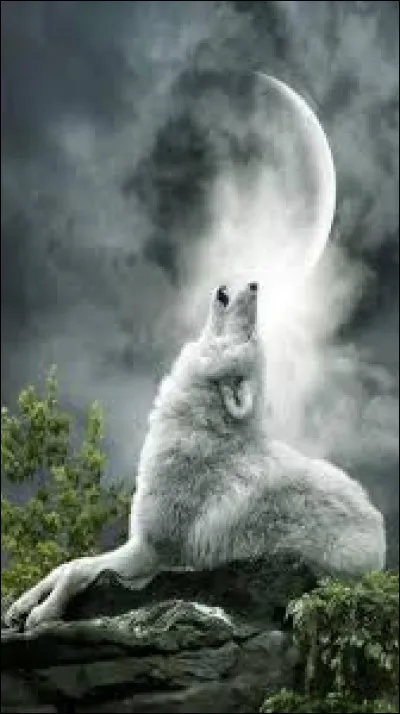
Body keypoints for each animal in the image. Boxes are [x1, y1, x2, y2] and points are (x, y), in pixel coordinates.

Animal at [5, 281, 386, 630]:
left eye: (250, 334)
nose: (254, 284)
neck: (202, 428)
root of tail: (380, 542)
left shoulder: (148, 552)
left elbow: (76, 570)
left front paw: (43, 614)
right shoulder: (140, 546)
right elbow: (62, 566)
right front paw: (18, 607)